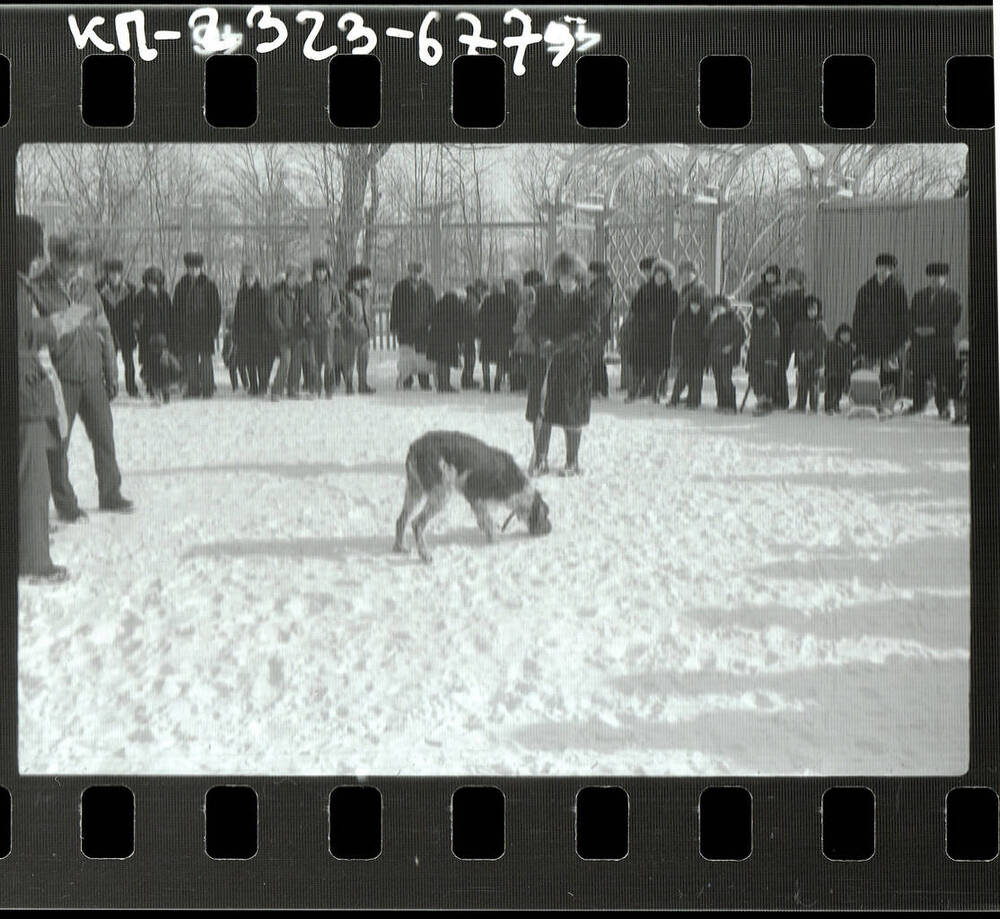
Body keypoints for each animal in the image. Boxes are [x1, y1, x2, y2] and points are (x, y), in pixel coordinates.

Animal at [392, 434, 552, 564]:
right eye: (546, 515)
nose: (550, 529)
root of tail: (414, 448)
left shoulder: (475, 500)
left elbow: (484, 521)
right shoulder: (476, 497)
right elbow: (488, 522)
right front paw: (495, 541)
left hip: (415, 490)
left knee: (400, 520)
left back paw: (400, 547)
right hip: (441, 494)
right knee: (416, 523)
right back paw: (425, 555)